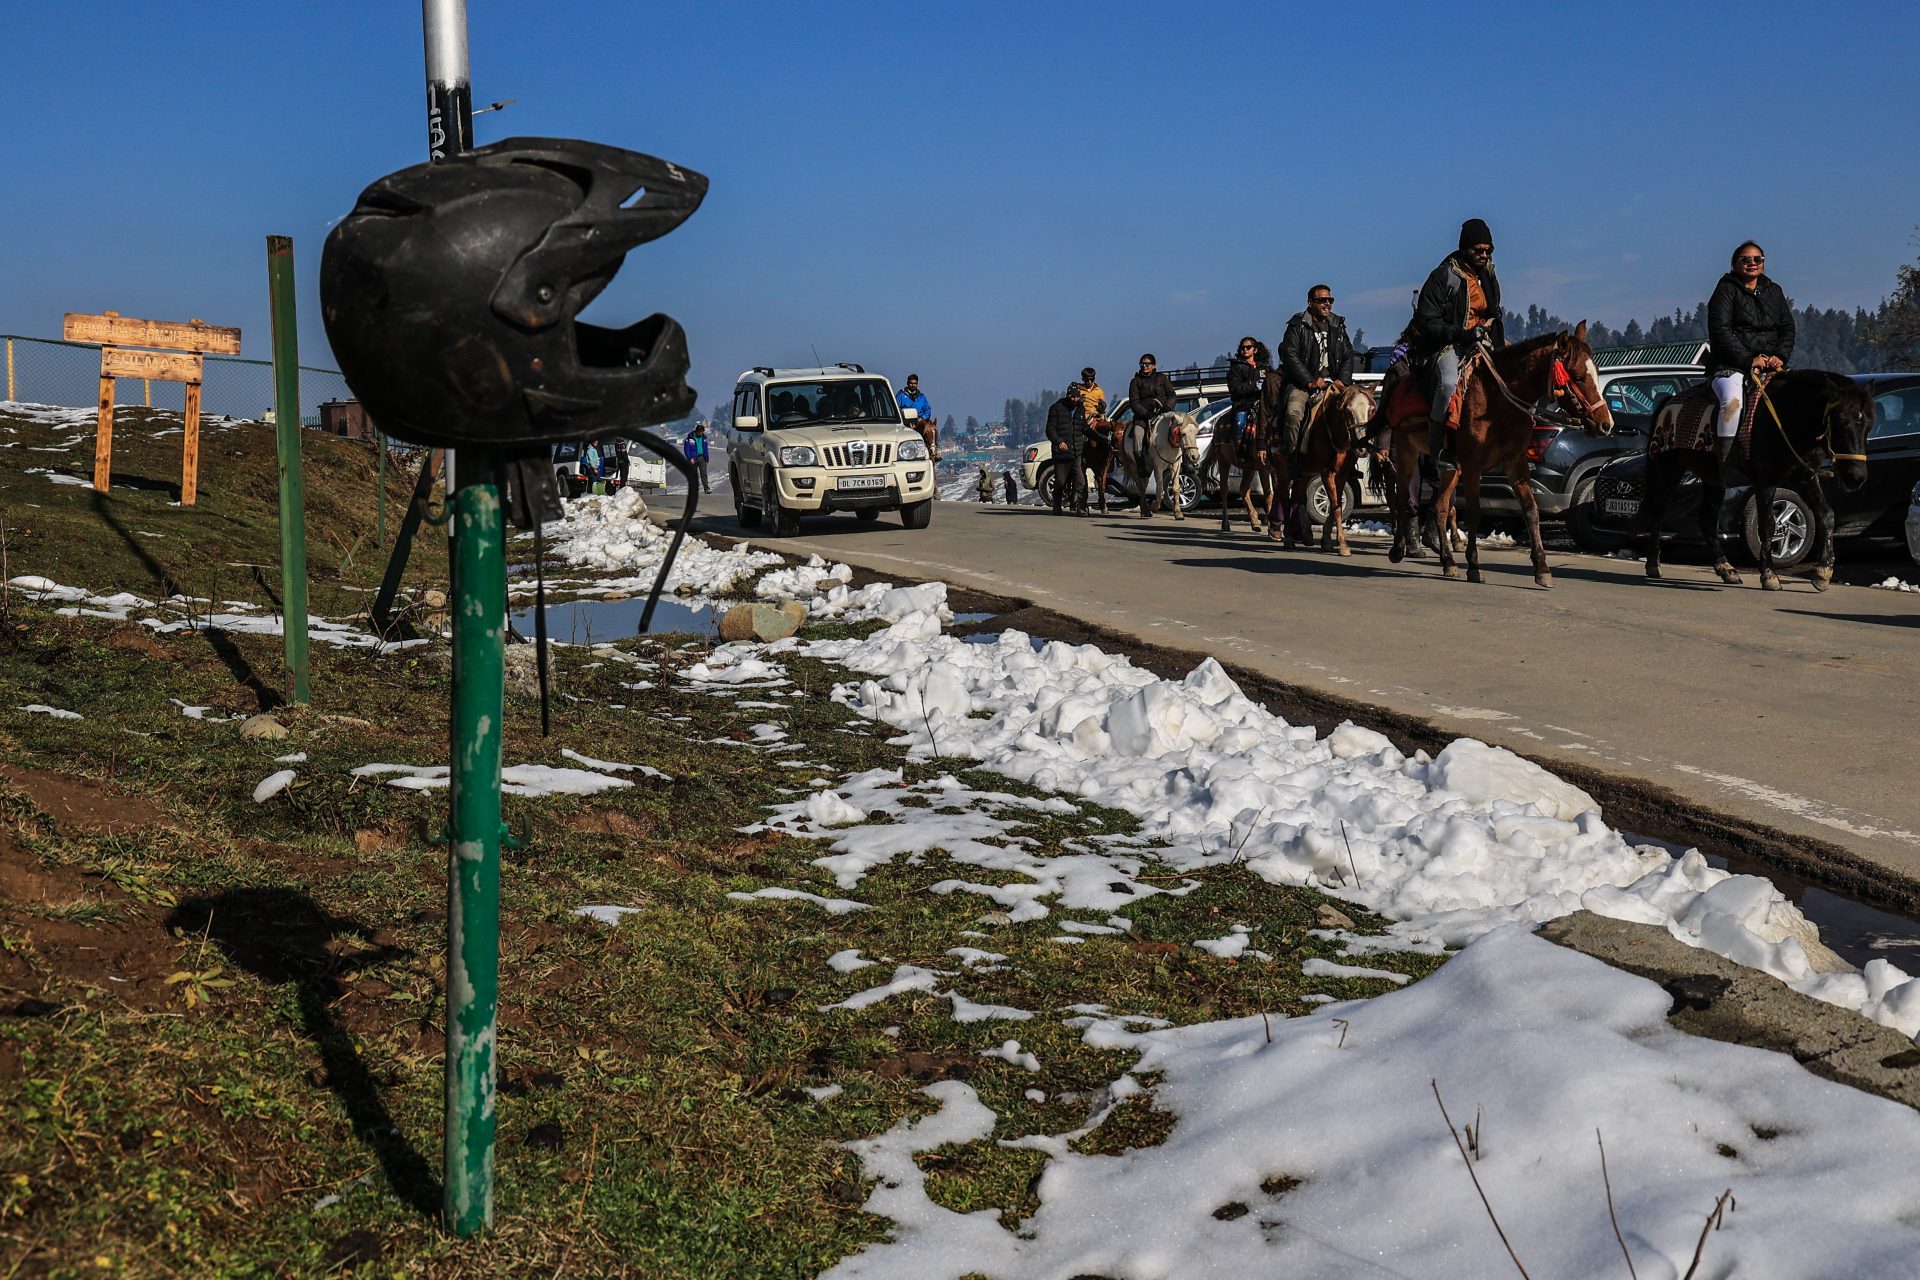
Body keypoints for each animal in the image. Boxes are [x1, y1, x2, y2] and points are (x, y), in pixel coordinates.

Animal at [1290, 385, 1382, 556]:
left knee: (1298, 496)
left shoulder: (1342, 473)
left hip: (1305, 472)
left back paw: (1306, 535)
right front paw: (1343, 544)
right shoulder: (1327, 472)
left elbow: (1336, 504)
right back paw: (1287, 537)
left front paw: (1326, 541)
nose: (1362, 447)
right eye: (1347, 410)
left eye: (1372, 410)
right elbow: (1335, 506)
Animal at [1382, 326, 1620, 587]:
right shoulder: (1473, 465)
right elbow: (1474, 513)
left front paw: (1542, 569)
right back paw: (1398, 549)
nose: (1606, 424)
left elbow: (1531, 509)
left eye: (1596, 372)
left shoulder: (1515, 462)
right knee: (1402, 498)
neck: (1496, 401)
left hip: (1450, 467)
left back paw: (1448, 562)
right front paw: (1474, 566)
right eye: (1577, 376)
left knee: (1441, 506)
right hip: (1406, 449)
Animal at [1643, 368, 1866, 594]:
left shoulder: (1804, 476)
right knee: (1658, 512)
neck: (1785, 417)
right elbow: (1768, 524)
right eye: (1839, 422)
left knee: (1707, 519)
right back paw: (1653, 564)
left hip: (1713, 478)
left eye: (1867, 425)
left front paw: (1823, 574)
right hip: (1670, 469)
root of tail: (1668, 401)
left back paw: (1727, 569)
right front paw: (1769, 575)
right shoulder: (1765, 480)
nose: (1855, 476)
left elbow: (1826, 515)